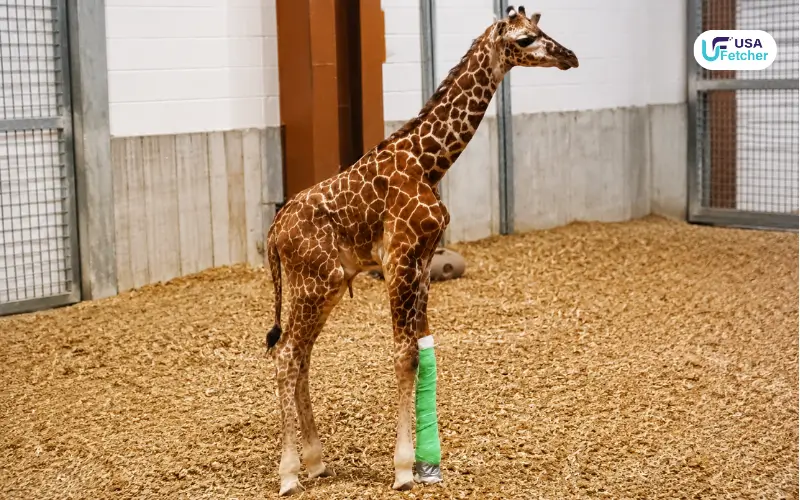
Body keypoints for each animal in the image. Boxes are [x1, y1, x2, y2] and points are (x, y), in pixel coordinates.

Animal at [264, 6, 578, 495]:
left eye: (543, 29)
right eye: (525, 40)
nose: (570, 57)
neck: (428, 163)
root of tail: (273, 230)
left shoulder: (424, 262)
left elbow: (424, 350)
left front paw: (430, 465)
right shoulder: (400, 259)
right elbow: (404, 355)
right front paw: (404, 469)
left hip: (320, 284)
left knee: (301, 356)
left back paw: (316, 462)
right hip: (318, 281)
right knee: (286, 355)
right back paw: (290, 473)